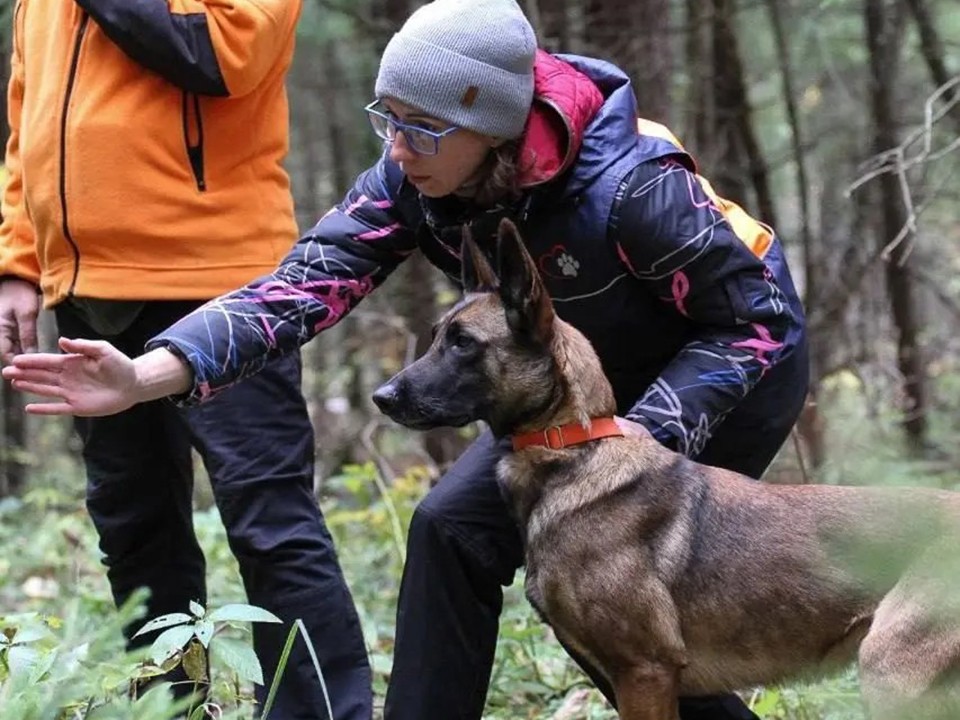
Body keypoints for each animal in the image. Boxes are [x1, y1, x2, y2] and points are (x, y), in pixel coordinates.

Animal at [374, 219, 960, 720]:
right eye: (436, 336)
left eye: (463, 343)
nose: (382, 396)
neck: (573, 451)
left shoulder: (645, 672)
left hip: (890, 672)